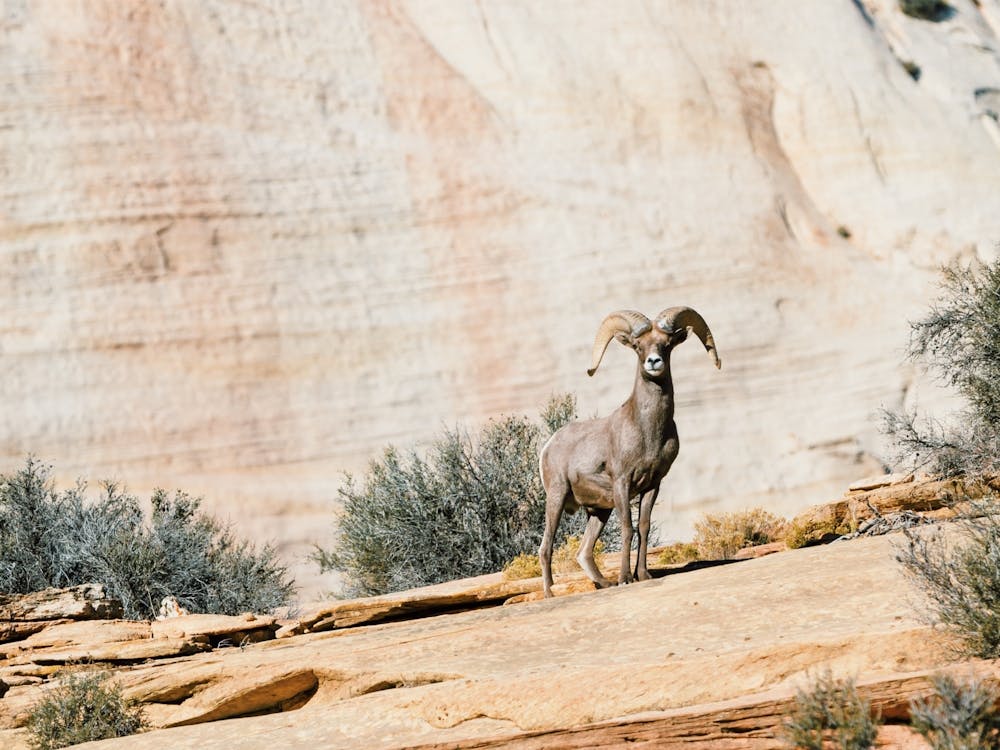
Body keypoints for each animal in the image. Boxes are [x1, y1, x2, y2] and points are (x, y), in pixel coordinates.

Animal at [538, 307, 720, 598]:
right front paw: (625, 578)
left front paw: (643, 575)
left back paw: (604, 584)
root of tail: (548, 446)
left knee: (583, 552)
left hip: (599, 511)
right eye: (637, 346)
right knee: (545, 548)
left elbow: (643, 527)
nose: (654, 362)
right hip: (557, 497)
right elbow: (627, 529)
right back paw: (550, 593)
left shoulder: (653, 484)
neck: (647, 431)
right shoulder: (622, 482)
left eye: (666, 344)